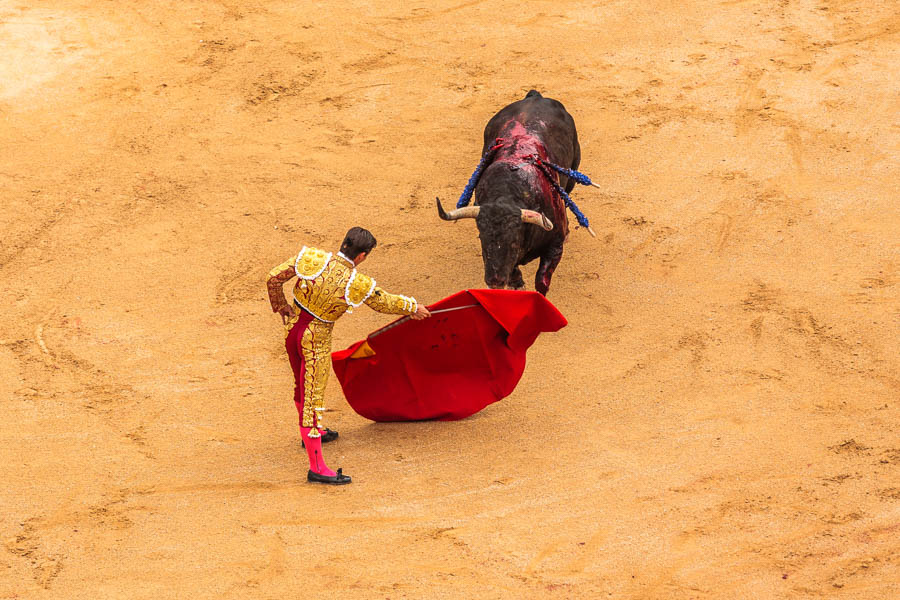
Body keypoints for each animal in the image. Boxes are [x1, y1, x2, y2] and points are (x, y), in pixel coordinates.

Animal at [438, 89, 580, 296]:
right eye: (482, 238)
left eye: (513, 242)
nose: (495, 282)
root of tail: (535, 96)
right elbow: (514, 273)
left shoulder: (555, 245)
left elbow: (542, 279)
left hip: (573, 172)